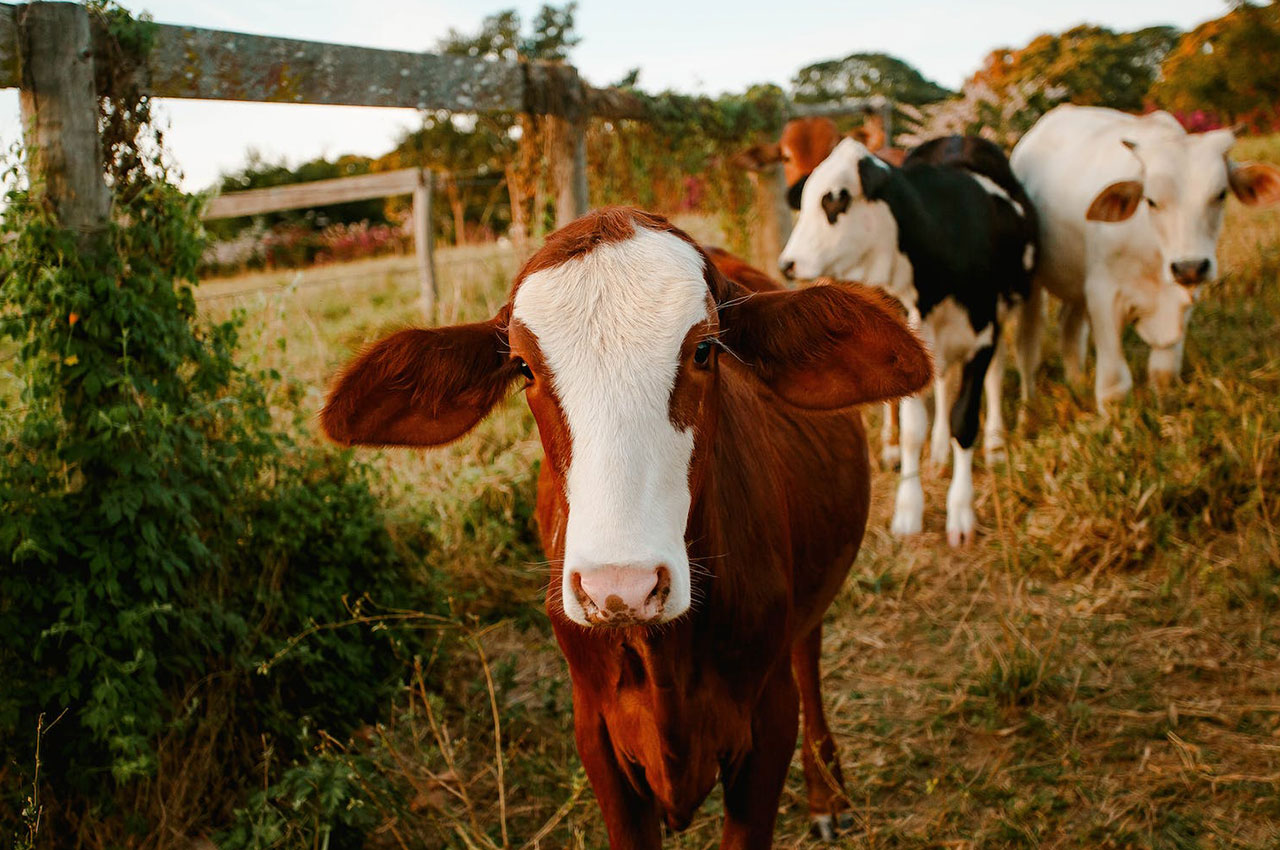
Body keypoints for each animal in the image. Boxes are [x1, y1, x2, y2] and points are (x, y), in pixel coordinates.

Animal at [320, 207, 931, 850]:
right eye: (523, 367)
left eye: (705, 349)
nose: (621, 587)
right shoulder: (598, 737)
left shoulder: (766, 721)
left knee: (807, 653)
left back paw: (827, 794)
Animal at [778, 134, 1039, 545]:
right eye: (803, 202)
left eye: (835, 200)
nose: (787, 264)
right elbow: (913, 430)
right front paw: (909, 508)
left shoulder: (984, 335)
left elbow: (965, 419)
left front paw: (961, 511)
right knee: (943, 384)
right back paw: (939, 452)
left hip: (1006, 311)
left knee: (995, 377)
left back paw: (995, 443)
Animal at [1008, 104, 1280, 409]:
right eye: (1150, 201)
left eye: (1221, 194)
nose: (1189, 267)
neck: (1153, 252)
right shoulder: (1103, 294)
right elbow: (1114, 386)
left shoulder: (1182, 297)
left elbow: (1163, 373)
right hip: (1034, 286)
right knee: (1027, 346)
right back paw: (1028, 406)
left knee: (1070, 328)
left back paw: (1076, 384)